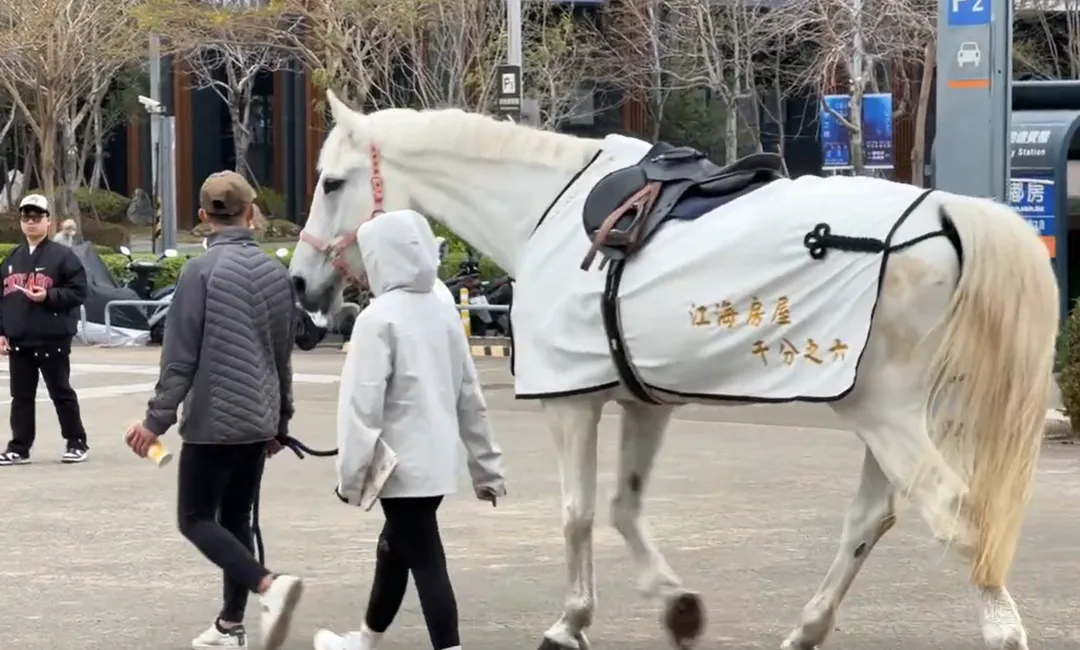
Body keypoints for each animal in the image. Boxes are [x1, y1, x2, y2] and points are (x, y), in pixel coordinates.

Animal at [288, 90, 1058, 650]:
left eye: (332, 182)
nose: (299, 283)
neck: (546, 214)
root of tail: (948, 213)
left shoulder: (570, 402)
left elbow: (576, 514)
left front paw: (569, 623)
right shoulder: (643, 401)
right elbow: (624, 508)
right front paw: (676, 606)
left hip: (889, 417)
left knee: (956, 516)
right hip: (883, 414)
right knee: (870, 521)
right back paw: (805, 630)